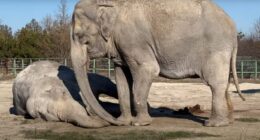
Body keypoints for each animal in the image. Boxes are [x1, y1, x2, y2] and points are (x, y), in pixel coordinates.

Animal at [70, 0, 245, 127]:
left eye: (80, 37)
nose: (110, 122)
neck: (109, 5)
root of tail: (233, 28)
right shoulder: (121, 47)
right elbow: (121, 79)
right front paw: (123, 122)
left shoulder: (133, 41)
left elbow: (148, 70)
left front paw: (139, 123)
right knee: (225, 83)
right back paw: (228, 121)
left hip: (216, 48)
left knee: (215, 83)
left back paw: (213, 124)